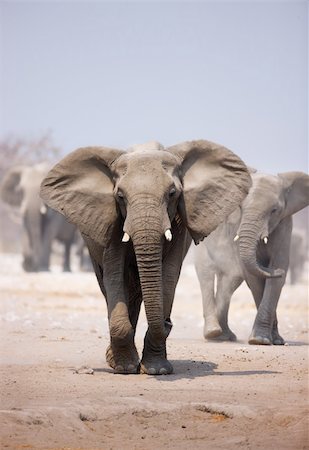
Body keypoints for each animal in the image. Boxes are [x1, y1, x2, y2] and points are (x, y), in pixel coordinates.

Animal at [39, 139, 249, 374]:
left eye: (172, 193)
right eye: (120, 196)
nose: (169, 323)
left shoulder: (178, 225)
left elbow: (168, 276)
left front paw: (157, 370)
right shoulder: (114, 219)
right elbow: (115, 274)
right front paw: (125, 368)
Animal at [195, 171, 308, 346]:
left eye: (274, 210)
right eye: (241, 207)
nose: (277, 271)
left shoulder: (284, 224)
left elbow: (276, 276)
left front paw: (271, 340)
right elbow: (254, 279)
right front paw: (260, 340)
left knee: (229, 281)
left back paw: (224, 336)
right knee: (206, 273)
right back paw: (213, 333)